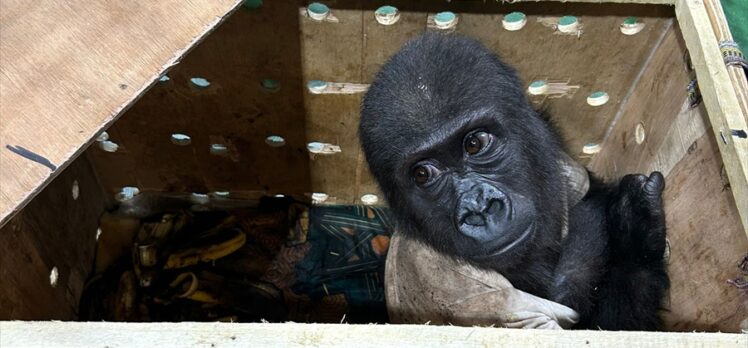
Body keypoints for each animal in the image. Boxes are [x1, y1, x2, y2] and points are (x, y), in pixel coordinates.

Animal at [360, 33, 668, 332]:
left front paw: (633, 226)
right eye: (423, 174)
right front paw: (633, 235)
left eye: (474, 143)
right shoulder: (462, 289)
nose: (479, 208)